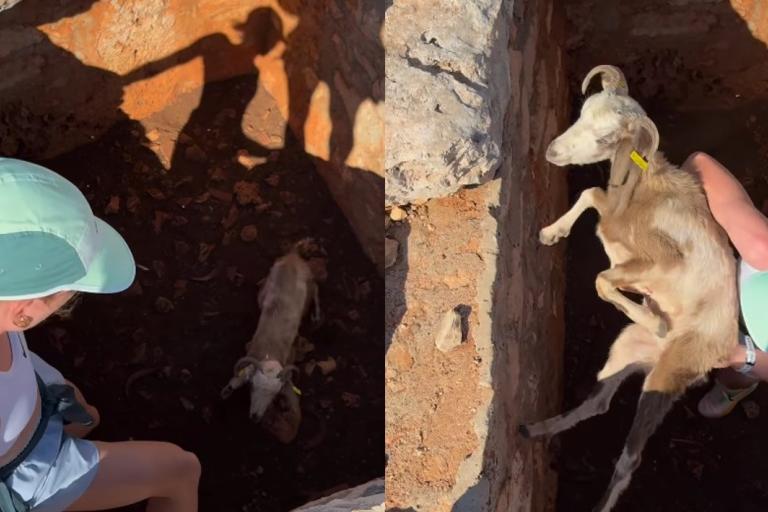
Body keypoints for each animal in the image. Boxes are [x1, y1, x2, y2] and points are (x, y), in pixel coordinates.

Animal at [221, 243, 320, 442]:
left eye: (275, 395)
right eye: (252, 386)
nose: (255, 417)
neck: (269, 350)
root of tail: (293, 256)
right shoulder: (250, 347)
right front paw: (227, 390)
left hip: (309, 283)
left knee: (316, 289)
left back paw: (316, 316)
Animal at [519, 65, 739, 512]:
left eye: (606, 137)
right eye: (582, 113)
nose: (553, 152)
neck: (640, 196)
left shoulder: (658, 263)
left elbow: (602, 279)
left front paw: (656, 319)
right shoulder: (613, 229)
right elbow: (590, 194)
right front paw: (551, 233)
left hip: (666, 379)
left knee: (630, 459)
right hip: (624, 349)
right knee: (599, 402)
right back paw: (537, 429)